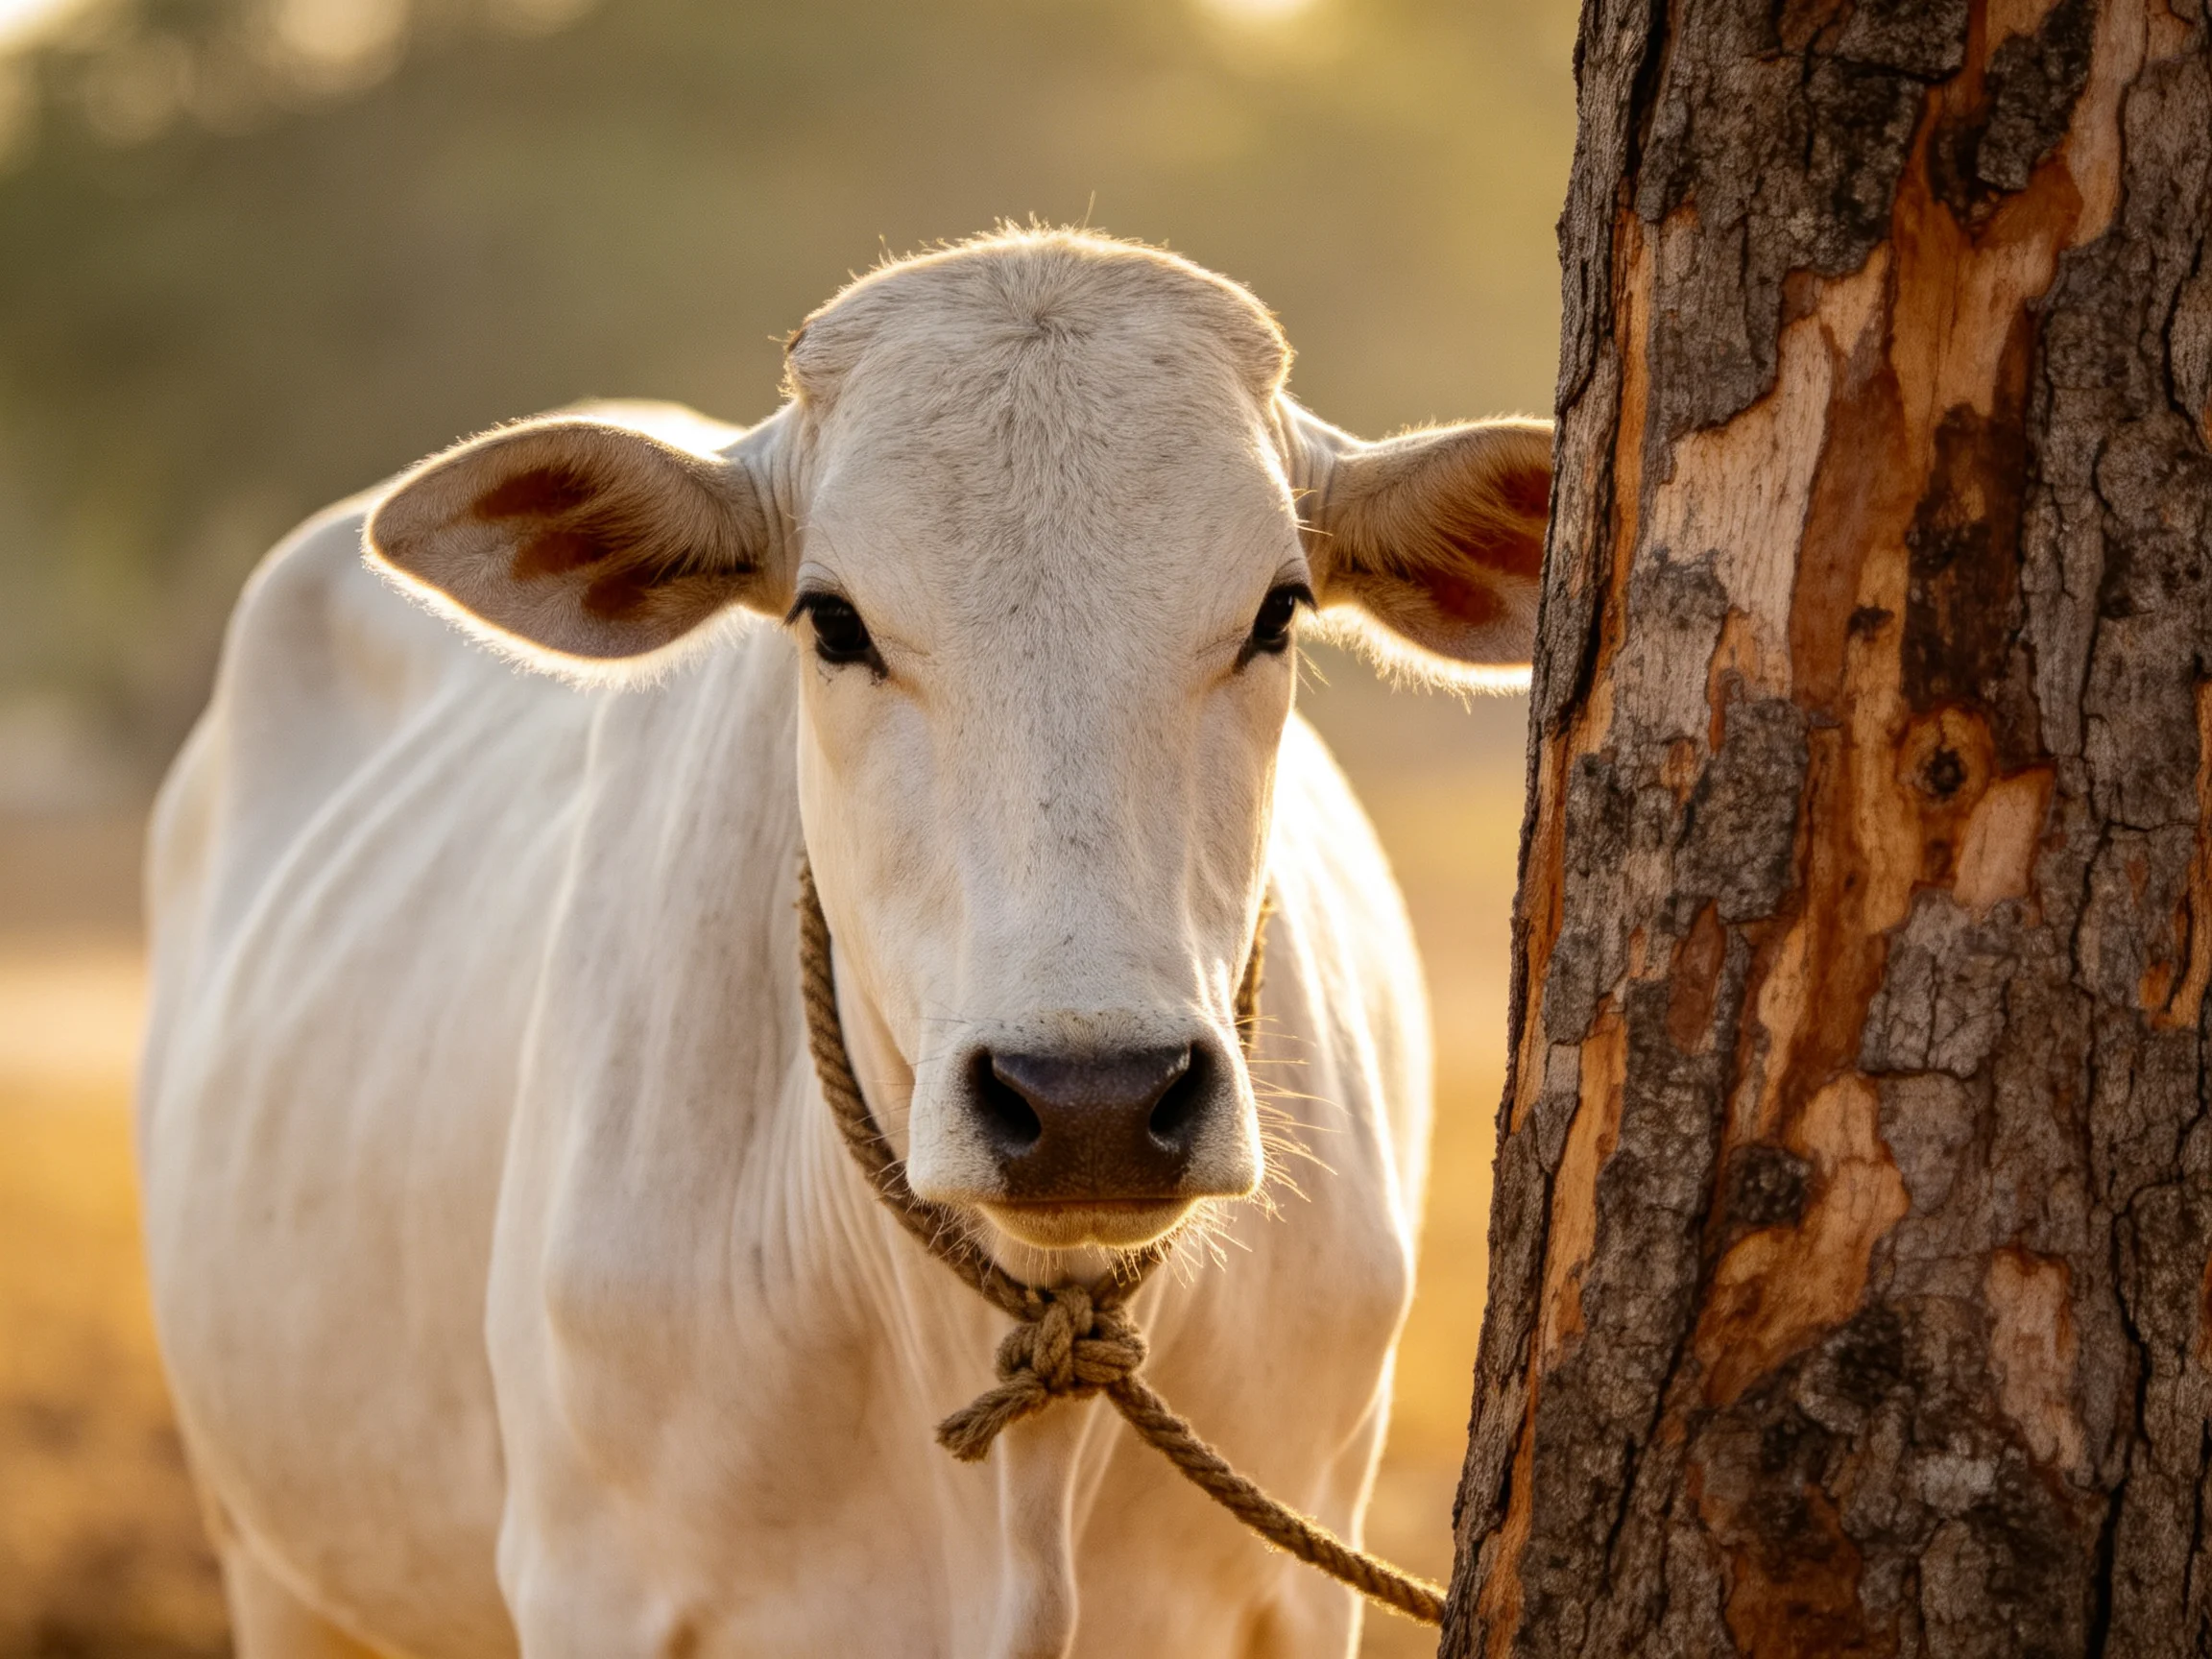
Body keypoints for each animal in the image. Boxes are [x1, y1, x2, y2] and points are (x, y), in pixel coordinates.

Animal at [137, 228, 1550, 1659]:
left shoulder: (1300, 1598)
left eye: (1278, 612)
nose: (1091, 1101)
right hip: (271, 1560)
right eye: (832, 621)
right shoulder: (592, 1585)